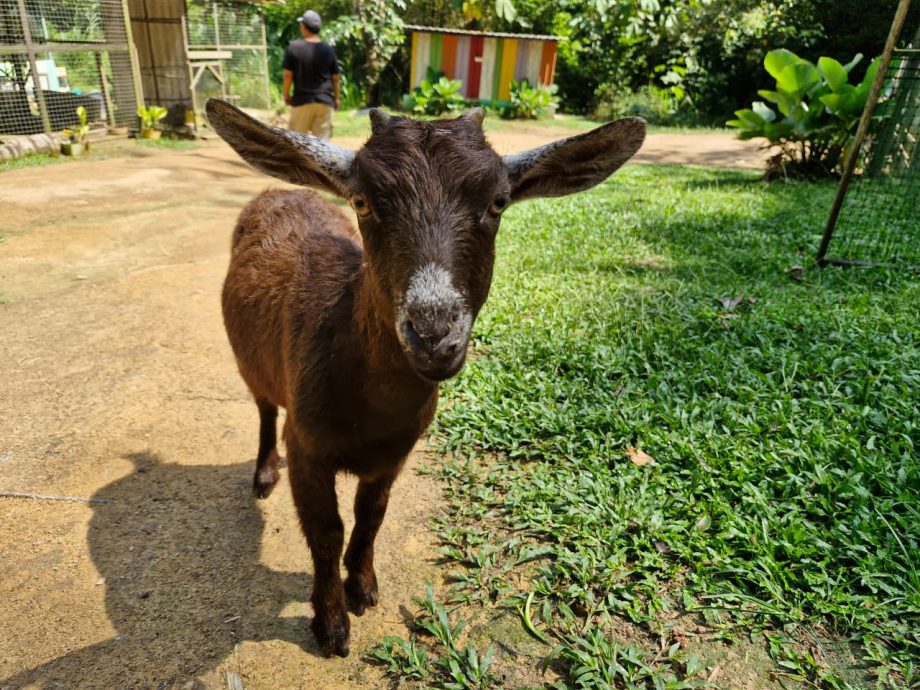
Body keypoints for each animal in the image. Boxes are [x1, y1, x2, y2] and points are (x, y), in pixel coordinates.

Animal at [207, 98, 648, 656]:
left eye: (499, 202)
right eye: (362, 200)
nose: (434, 335)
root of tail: (281, 191)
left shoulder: (393, 454)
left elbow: (371, 516)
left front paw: (363, 587)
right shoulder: (307, 447)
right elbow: (326, 532)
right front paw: (331, 625)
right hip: (251, 365)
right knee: (265, 405)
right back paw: (264, 475)